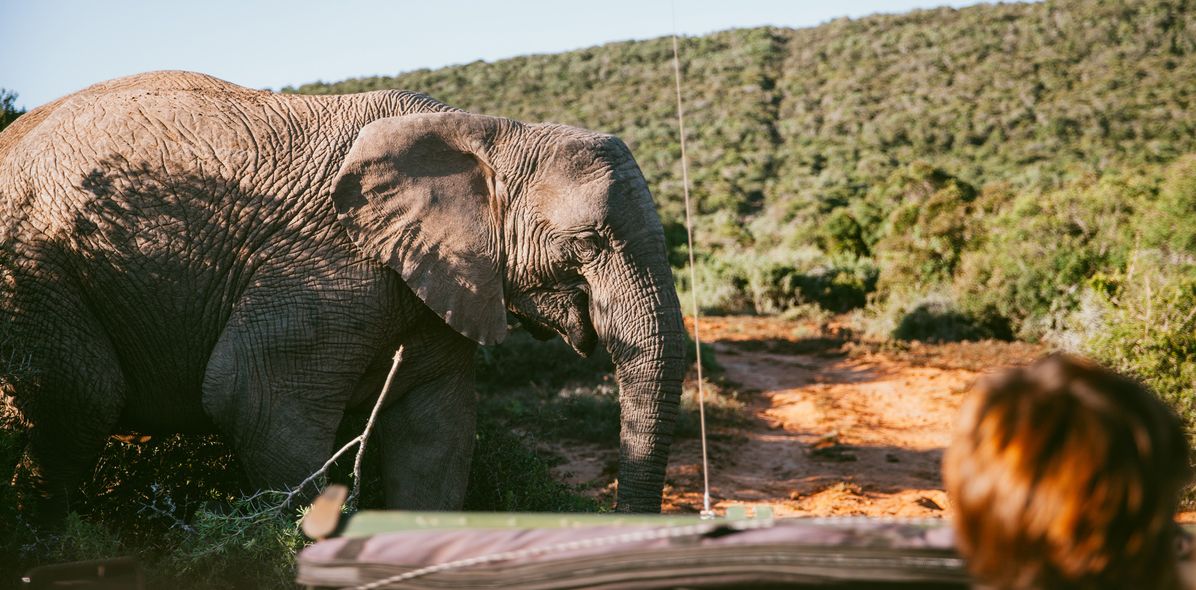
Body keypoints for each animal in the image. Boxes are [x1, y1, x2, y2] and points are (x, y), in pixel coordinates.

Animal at [0, 71, 686, 516]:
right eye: (590, 241)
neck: (486, 134)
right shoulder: (323, 264)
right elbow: (255, 400)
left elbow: (437, 436)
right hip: (33, 271)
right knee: (82, 398)